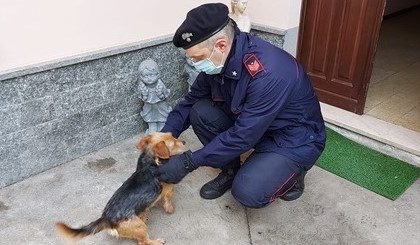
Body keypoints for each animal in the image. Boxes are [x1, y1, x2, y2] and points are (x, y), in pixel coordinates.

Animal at [55, 133, 185, 244]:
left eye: (173, 136)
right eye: (173, 143)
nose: (184, 142)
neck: (149, 162)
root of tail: (106, 218)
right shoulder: (168, 190)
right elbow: (168, 200)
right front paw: (170, 209)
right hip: (140, 227)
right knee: (143, 242)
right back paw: (157, 241)